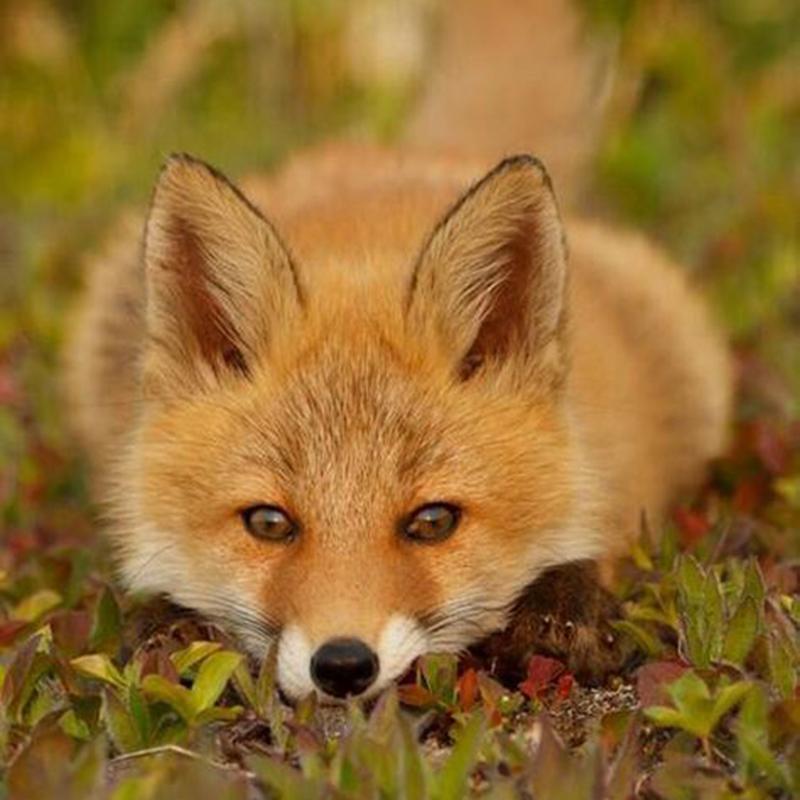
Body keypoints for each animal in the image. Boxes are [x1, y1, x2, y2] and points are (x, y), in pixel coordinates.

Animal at [65, 0, 731, 701]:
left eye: (433, 521)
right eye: (268, 523)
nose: (343, 666)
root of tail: (408, 156)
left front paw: (564, 608)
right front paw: (166, 627)